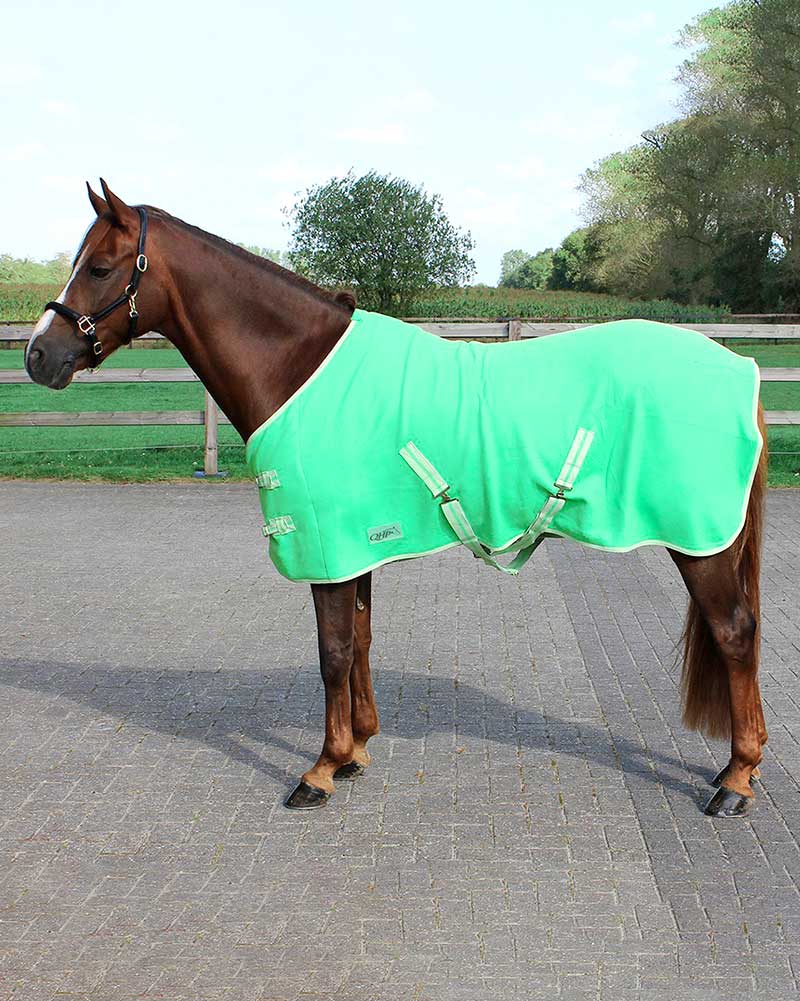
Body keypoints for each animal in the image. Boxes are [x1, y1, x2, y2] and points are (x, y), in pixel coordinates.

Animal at [25, 180, 768, 818]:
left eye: (100, 267)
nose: (38, 356)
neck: (298, 366)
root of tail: (741, 368)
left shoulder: (324, 547)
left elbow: (330, 652)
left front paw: (321, 769)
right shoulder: (354, 547)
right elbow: (359, 641)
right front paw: (355, 749)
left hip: (700, 542)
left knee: (735, 633)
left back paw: (735, 781)